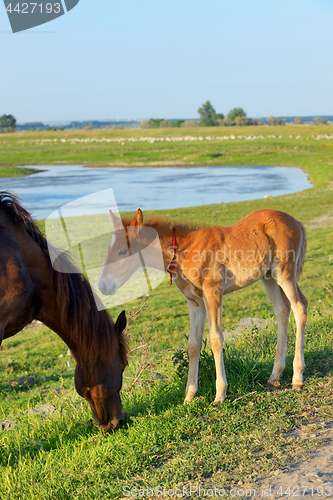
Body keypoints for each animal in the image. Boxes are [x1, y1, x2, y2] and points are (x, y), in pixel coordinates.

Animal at [98, 209, 306, 404]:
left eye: (122, 251)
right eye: (108, 249)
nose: (103, 286)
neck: (183, 253)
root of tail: (296, 222)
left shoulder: (213, 292)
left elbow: (215, 339)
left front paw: (220, 394)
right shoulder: (195, 302)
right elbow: (193, 345)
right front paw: (189, 396)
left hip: (284, 272)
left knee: (300, 307)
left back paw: (297, 377)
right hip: (268, 277)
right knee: (282, 310)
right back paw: (275, 375)